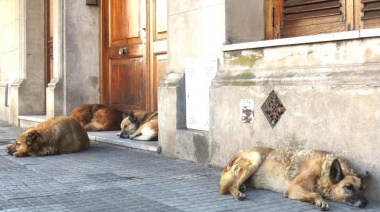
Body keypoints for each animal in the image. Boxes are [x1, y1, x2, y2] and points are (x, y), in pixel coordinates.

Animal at [218, 147, 370, 210]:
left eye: (362, 188)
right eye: (348, 187)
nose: (365, 203)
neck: (323, 171)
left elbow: (314, 192)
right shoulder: (293, 188)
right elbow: (315, 193)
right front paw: (320, 201)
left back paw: (243, 186)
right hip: (256, 159)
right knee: (231, 186)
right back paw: (237, 192)